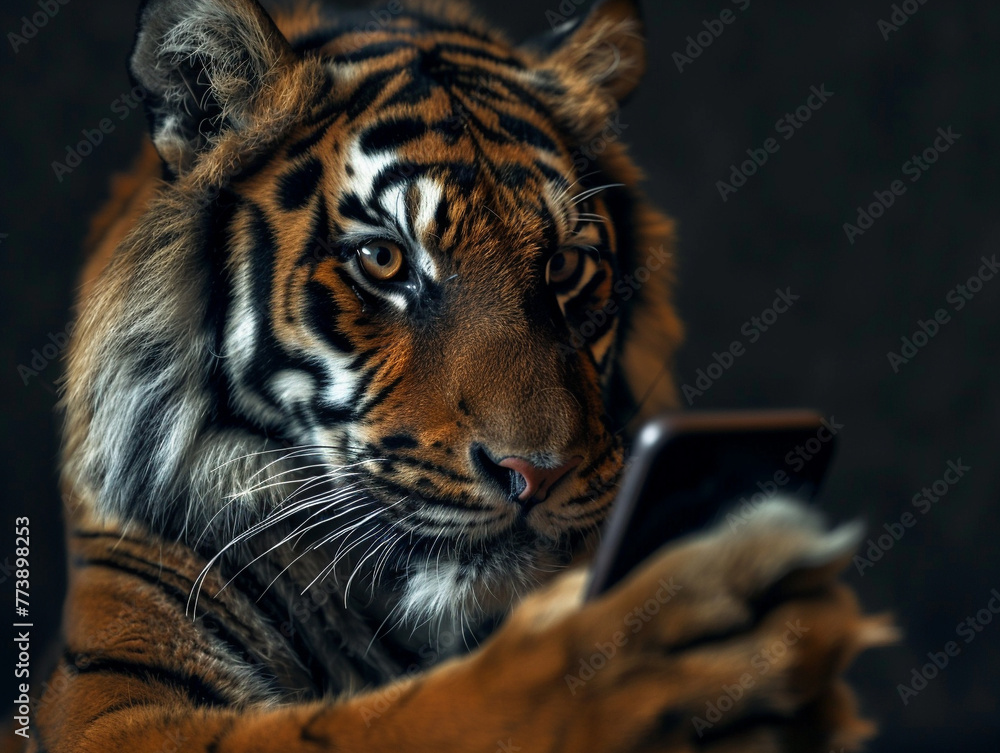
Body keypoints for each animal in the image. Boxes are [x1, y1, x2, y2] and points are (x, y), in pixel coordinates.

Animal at [22, 0, 894, 751]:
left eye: (565, 266)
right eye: (384, 259)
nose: (535, 474)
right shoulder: (116, 710)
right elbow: (404, 720)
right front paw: (638, 662)